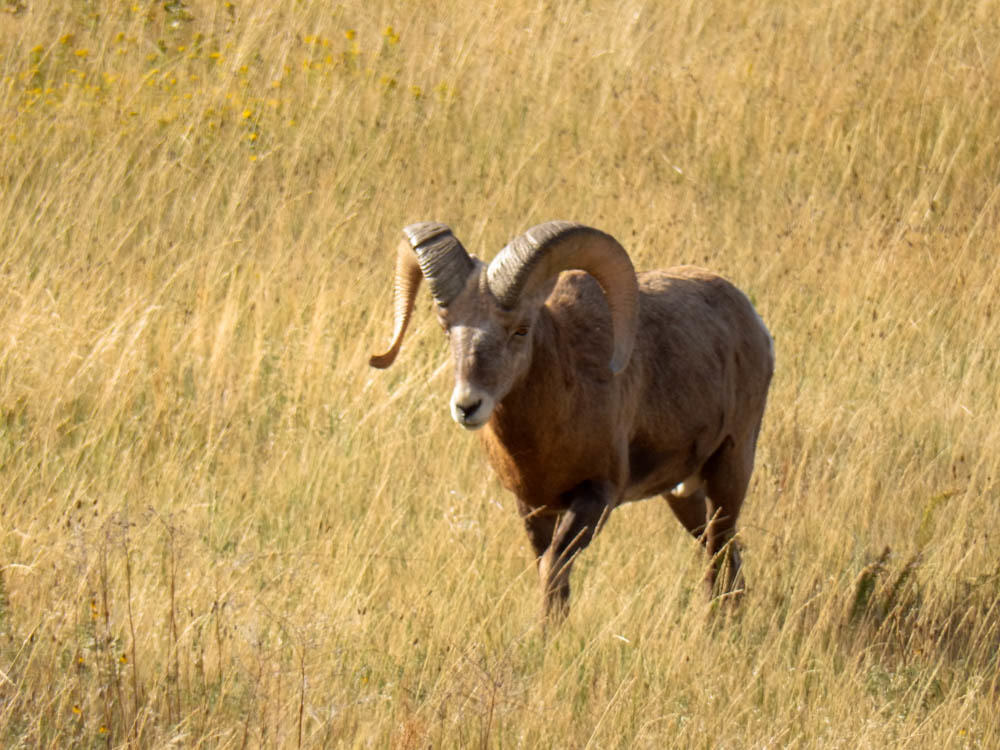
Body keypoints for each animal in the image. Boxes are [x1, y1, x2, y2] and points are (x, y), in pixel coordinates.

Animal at [372, 222, 776, 616]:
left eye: (521, 329)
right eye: (447, 328)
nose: (468, 406)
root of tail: (754, 323)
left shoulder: (595, 498)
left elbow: (554, 570)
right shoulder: (534, 509)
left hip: (729, 470)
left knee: (718, 559)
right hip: (683, 495)